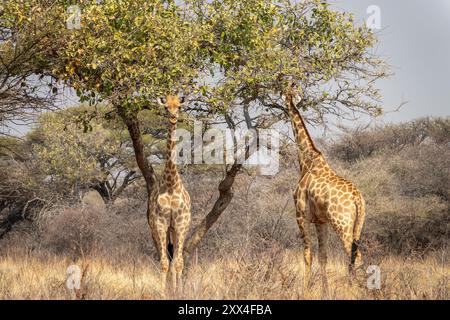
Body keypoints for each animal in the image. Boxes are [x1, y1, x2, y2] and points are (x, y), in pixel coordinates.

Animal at [284, 84, 366, 282]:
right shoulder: (321, 221)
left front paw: (305, 287)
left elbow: (308, 255)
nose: (283, 95)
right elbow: (323, 257)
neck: (306, 161)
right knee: (356, 255)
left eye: (286, 91)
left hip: (342, 224)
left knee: (354, 255)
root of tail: (358, 200)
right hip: (357, 225)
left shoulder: (300, 215)